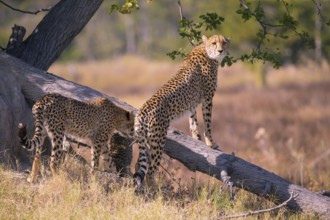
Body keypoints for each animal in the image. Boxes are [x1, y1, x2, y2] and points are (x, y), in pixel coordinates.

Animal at [133, 33, 229, 188]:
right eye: (214, 43)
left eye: (224, 43)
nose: (220, 51)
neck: (206, 51)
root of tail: (143, 110)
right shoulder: (207, 98)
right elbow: (208, 123)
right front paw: (211, 143)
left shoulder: (192, 102)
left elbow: (193, 120)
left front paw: (196, 138)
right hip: (158, 140)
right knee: (150, 172)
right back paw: (155, 190)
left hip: (145, 141)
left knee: (139, 166)